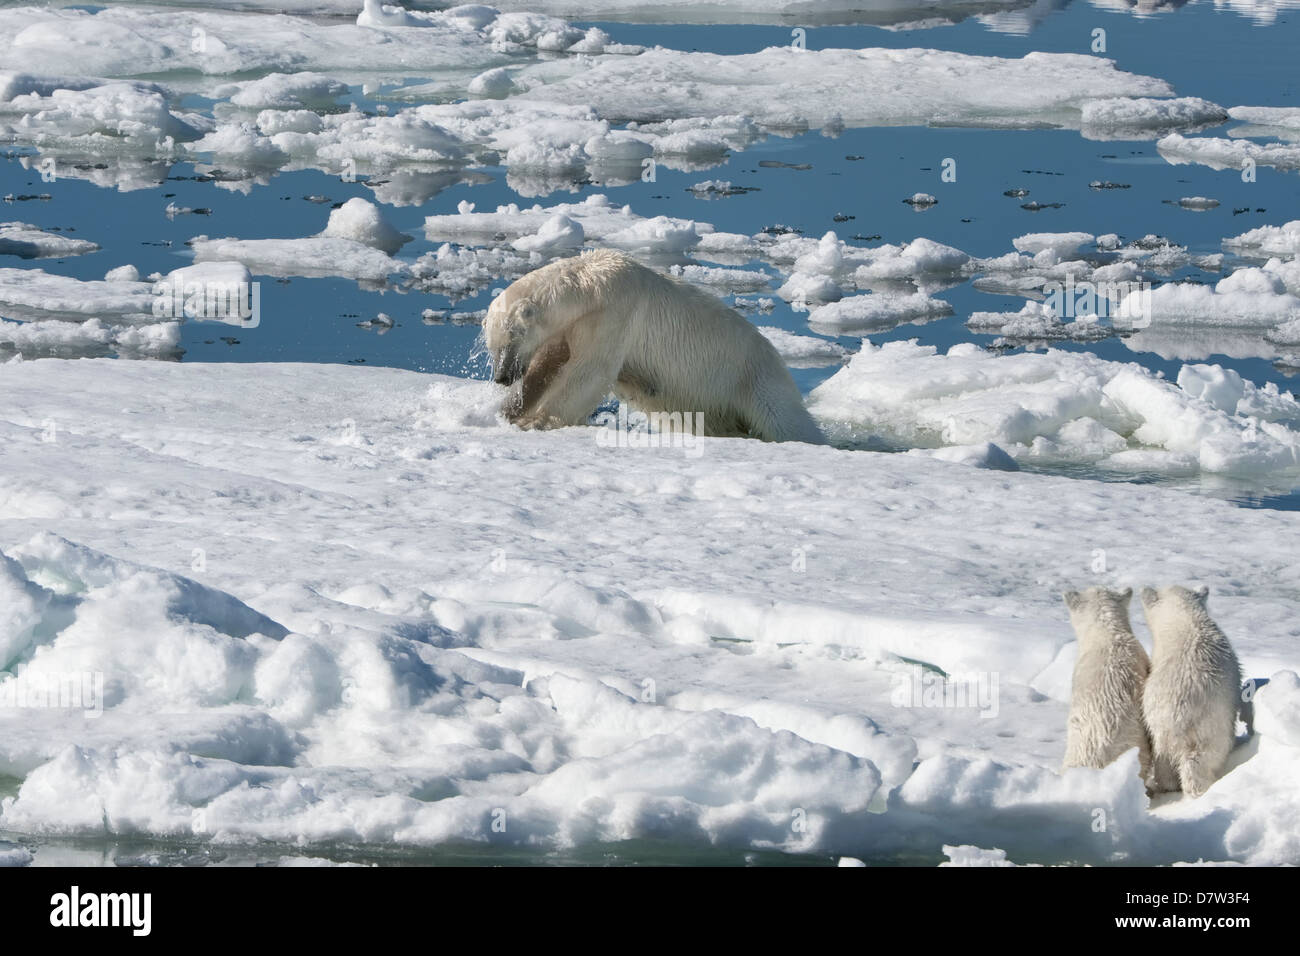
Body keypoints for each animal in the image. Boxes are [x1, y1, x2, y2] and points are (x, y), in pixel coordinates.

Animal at [483, 247, 826, 442]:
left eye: (512, 337)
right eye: (491, 346)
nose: (502, 376)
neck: (591, 286)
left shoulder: (616, 312)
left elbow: (589, 373)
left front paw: (534, 422)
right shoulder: (574, 326)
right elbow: (547, 366)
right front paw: (510, 410)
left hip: (754, 376)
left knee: (785, 420)